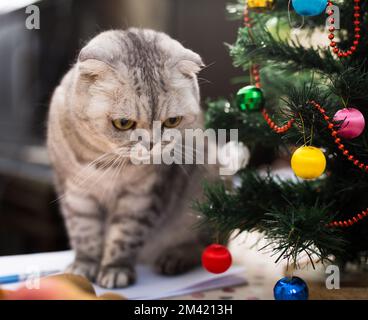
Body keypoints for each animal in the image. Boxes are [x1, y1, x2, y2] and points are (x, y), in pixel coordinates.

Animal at [46, 28, 213, 288]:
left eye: (172, 121)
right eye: (123, 123)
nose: (152, 144)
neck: (104, 161)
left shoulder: (140, 197)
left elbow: (124, 236)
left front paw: (115, 270)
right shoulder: (76, 193)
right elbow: (84, 233)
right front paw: (83, 267)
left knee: (208, 245)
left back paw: (174, 258)